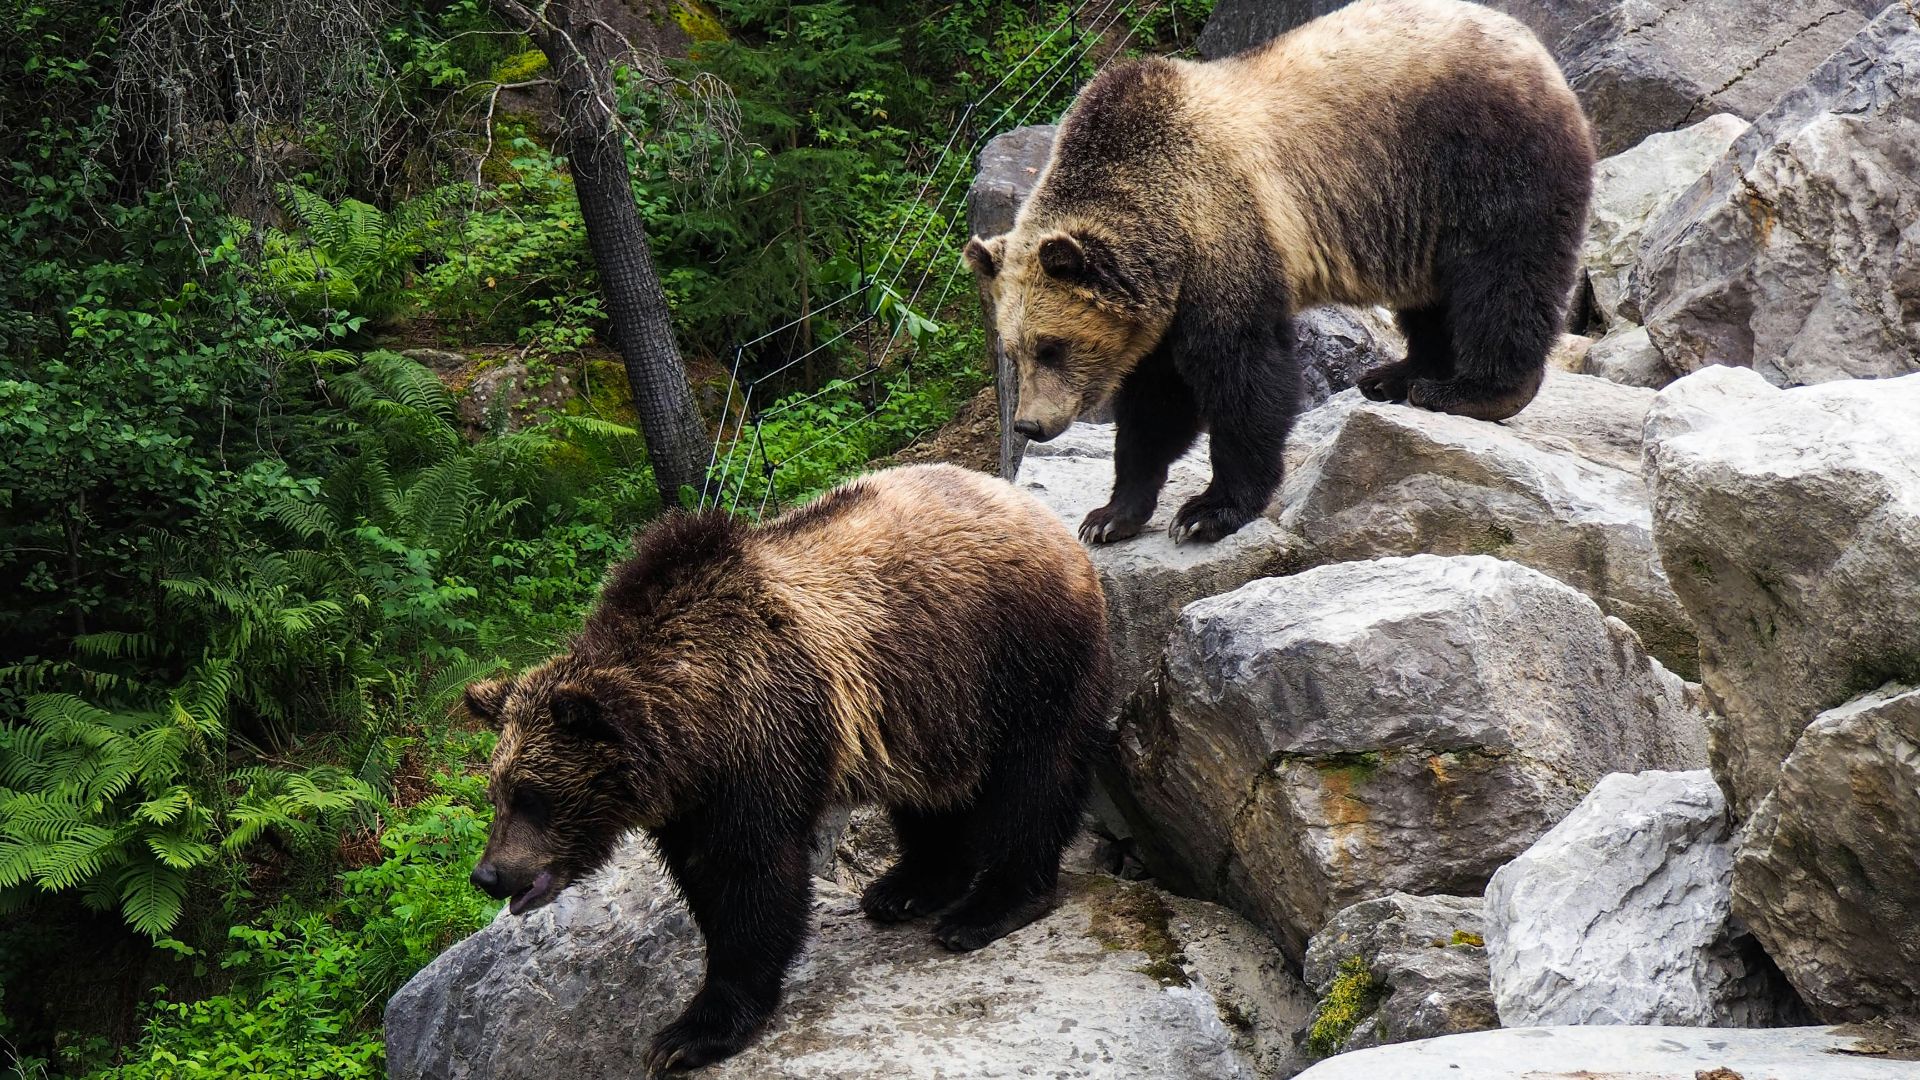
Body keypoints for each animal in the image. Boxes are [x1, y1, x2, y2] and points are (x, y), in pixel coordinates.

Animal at [463, 463, 1112, 1073]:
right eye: (496, 793)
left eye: (532, 795)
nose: (488, 874)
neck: (694, 729)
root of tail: (1039, 513)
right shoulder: (693, 799)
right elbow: (705, 882)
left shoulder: (765, 738)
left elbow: (753, 882)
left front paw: (691, 1034)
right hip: (931, 704)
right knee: (933, 794)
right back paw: (906, 886)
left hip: (1019, 656)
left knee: (1035, 778)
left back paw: (987, 908)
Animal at [965, 0, 1594, 545]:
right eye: (1013, 350)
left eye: (1052, 346)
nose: (1028, 426)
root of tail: (1533, 45)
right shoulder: (1161, 308)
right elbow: (1154, 406)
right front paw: (1109, 516)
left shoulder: (1224, 235)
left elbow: (1245, 376)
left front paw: (1208, 510)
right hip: (1418, 212)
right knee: (1433, 297)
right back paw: (1396, 375)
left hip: (1481, 158)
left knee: (1502, 277)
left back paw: (1471, 390)